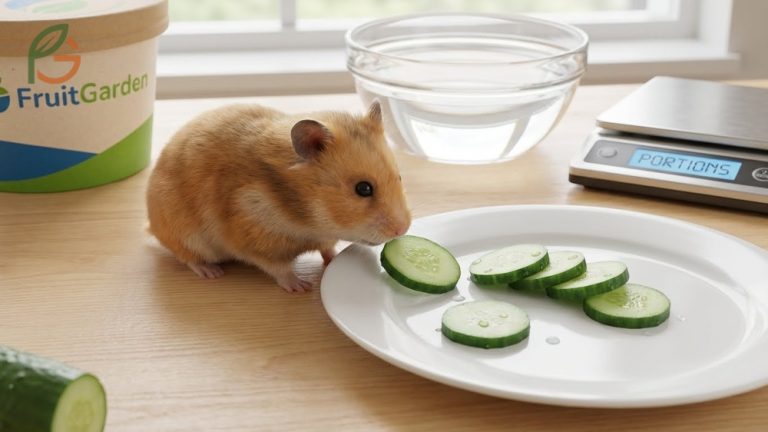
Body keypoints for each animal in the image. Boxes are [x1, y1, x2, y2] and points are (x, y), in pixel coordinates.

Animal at [146, 101, 411, 293]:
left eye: (399, 177)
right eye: (363, 189)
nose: (403, 229)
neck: (307, 217)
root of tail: (151, 224)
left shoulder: (322, 238)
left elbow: (327, 250)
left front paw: (334, 260)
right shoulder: (253, 239)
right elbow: (279, 268)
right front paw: (302, 287)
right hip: (184, 234)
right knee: (188, 257)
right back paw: (211, 273)